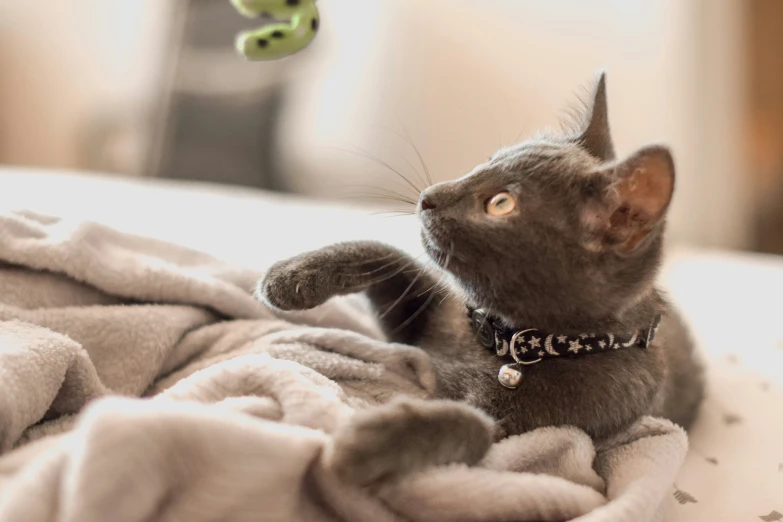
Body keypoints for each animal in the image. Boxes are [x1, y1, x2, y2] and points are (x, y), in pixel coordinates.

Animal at [258, 72, 704, 484]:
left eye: (500, 204)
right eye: (486, 161)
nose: (429, 195)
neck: (505, 343)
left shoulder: (544, 428)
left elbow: (471, 424)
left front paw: (371, 441)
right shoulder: (419, 321)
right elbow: (388, 256)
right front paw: (293, 276)